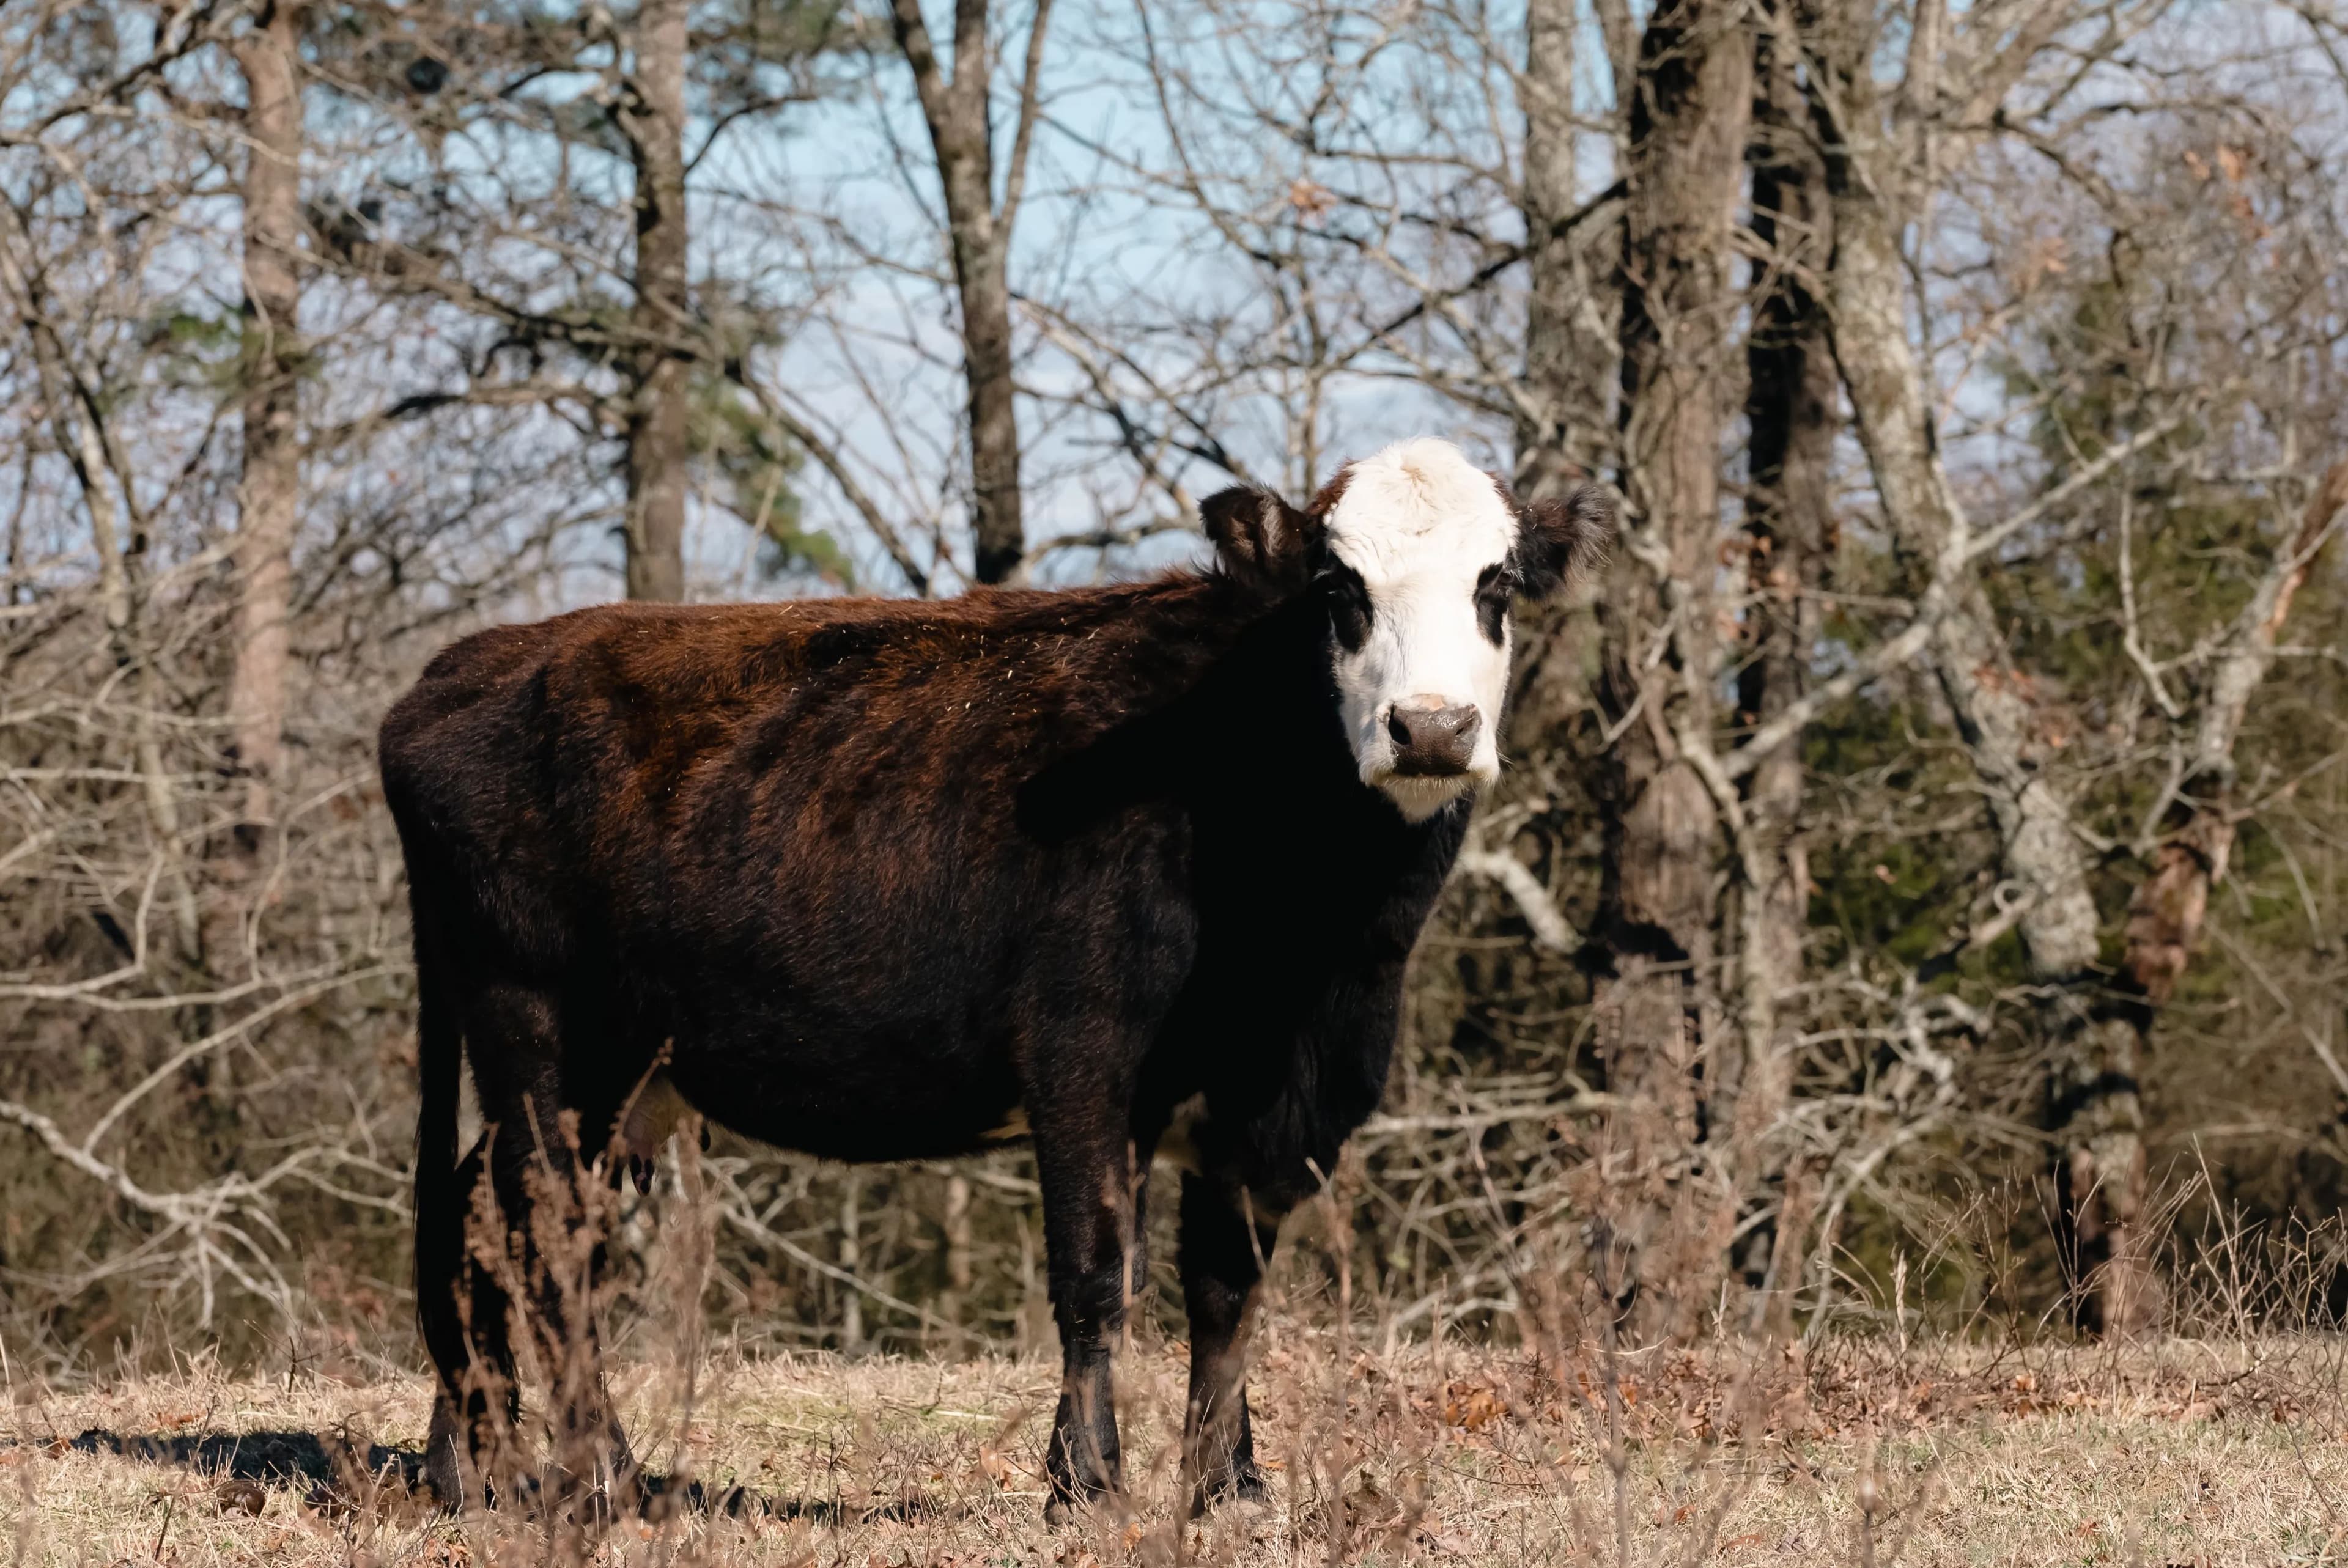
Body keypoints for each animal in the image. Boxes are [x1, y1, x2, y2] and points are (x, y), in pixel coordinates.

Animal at [377, 436, 1609, 1517]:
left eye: (1497, 584)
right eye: (1337, 585)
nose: (1432, 727)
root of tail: (472, 659)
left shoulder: (1289, 1094)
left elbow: (1228, 1286)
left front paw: (1229, 1486)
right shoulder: (1082, 1055)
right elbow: (1097, 1275)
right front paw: (1091, 1485)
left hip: (610, 1073)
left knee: (479, 1223)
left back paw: (474, 1470)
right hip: (544, 1030)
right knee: (542, 1242)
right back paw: (603, 1477)